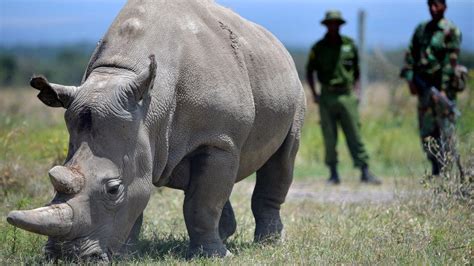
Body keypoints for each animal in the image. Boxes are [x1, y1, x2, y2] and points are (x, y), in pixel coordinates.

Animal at [7, 0, 306, 262]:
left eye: (113, 189)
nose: (65, 257)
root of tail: (278, 44)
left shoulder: (218, 139)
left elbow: (202, 203)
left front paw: (214, 257)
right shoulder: (140, 132)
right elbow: (144, 195)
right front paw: (126, 256)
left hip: (295, 91)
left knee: (283, 158)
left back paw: (269, 243)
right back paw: (226, 234)